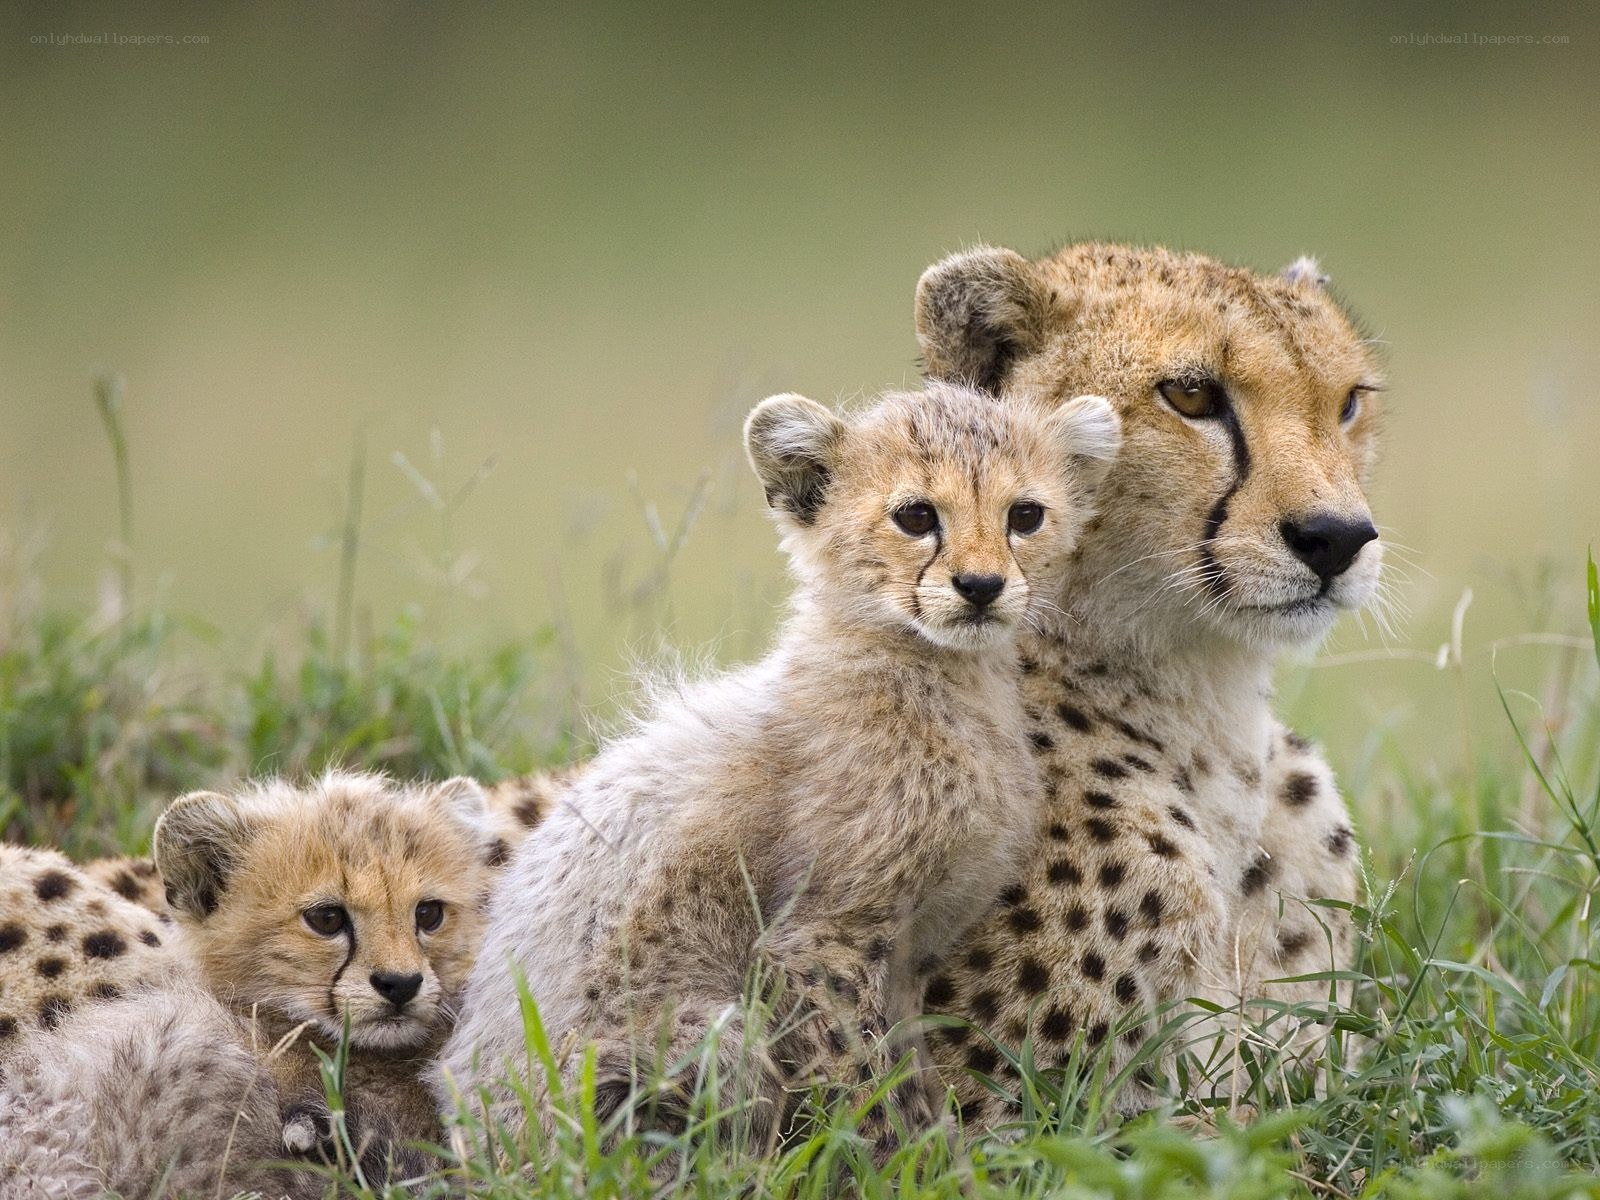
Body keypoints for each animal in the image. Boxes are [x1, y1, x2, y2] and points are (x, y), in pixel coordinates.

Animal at [435, 381, 1122, 1156]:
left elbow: (909, 1071)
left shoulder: (908, 955)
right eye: (917, 515)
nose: (981, 585)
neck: (940, 676)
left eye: (1025, 515)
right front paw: (884, 1163)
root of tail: (473, 1143)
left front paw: (942, 1156)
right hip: (701, 1037)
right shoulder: (818, 939)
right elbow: (863, 1084)